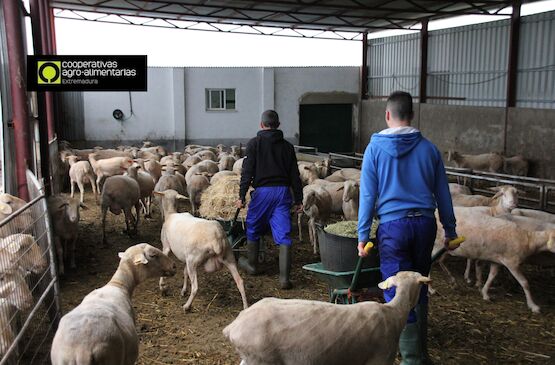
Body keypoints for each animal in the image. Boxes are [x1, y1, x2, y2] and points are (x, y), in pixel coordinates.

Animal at [224, 270, 432, 364]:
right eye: (421, 284)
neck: (394, 312)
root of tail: (234, 326)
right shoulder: (380, 359)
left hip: (251, 358)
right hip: (261, 360)